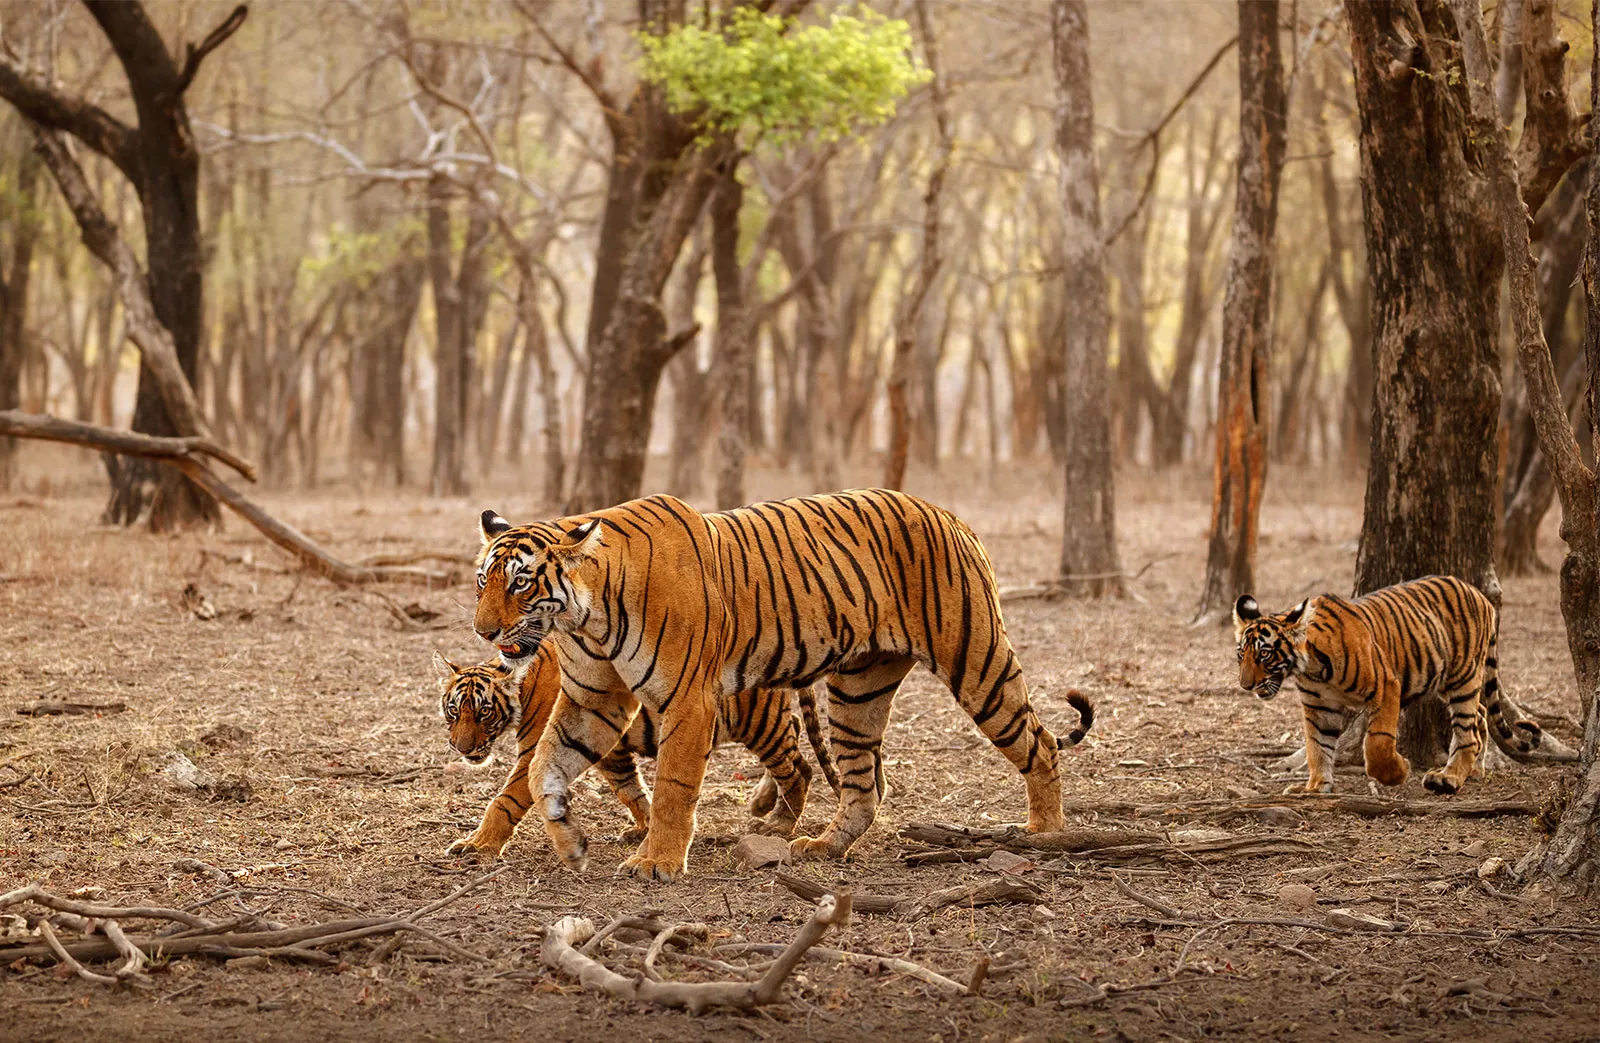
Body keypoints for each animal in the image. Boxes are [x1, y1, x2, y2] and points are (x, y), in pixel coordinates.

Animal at [433, 645, 839, 859]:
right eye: (454, 710)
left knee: (799, 768)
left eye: (484, 712)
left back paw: (779, 823)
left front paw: (476, 845)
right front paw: (643, 829)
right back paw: (763, 803)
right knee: (794, 736)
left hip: (758, 721)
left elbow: (503, 802)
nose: (461, 747)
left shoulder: (535, 752)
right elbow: (631, 790)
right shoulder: (607, 749)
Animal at [1233, 574, 1545, 796]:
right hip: (1450, 682)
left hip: (1463, 677)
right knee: (1479, 716)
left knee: (1468, 730)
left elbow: (1376, 744)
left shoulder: (1385, 687)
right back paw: (1474, 770)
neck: (1310, 668)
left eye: (1264, 653)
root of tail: (1480, 595)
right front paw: (1315, 786)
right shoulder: (1319, 707)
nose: (1246, 685)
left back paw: (1450, 778)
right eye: (1241, 654)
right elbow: (1317, 747)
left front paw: (1399, 771)